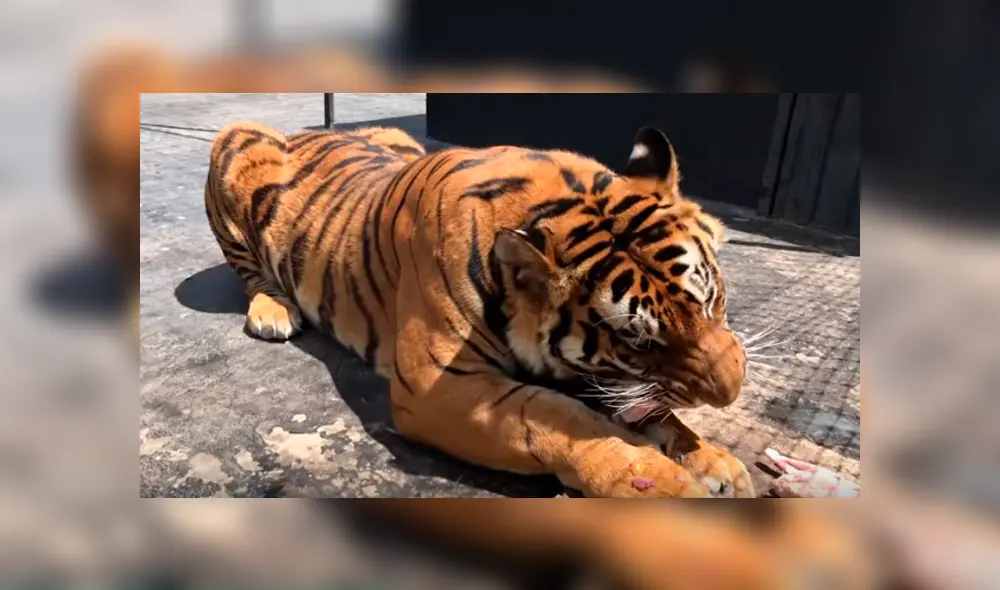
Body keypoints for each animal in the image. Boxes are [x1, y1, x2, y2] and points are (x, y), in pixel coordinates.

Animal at [204, 121, 753, 498]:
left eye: (711, 299)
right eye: (640, 341)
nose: (731, 391)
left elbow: (649, 409)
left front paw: (714, 463)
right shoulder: (439, 386)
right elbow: (561, 420)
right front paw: (664, 483)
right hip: (236, 141)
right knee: (250, 272)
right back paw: (273, 311)